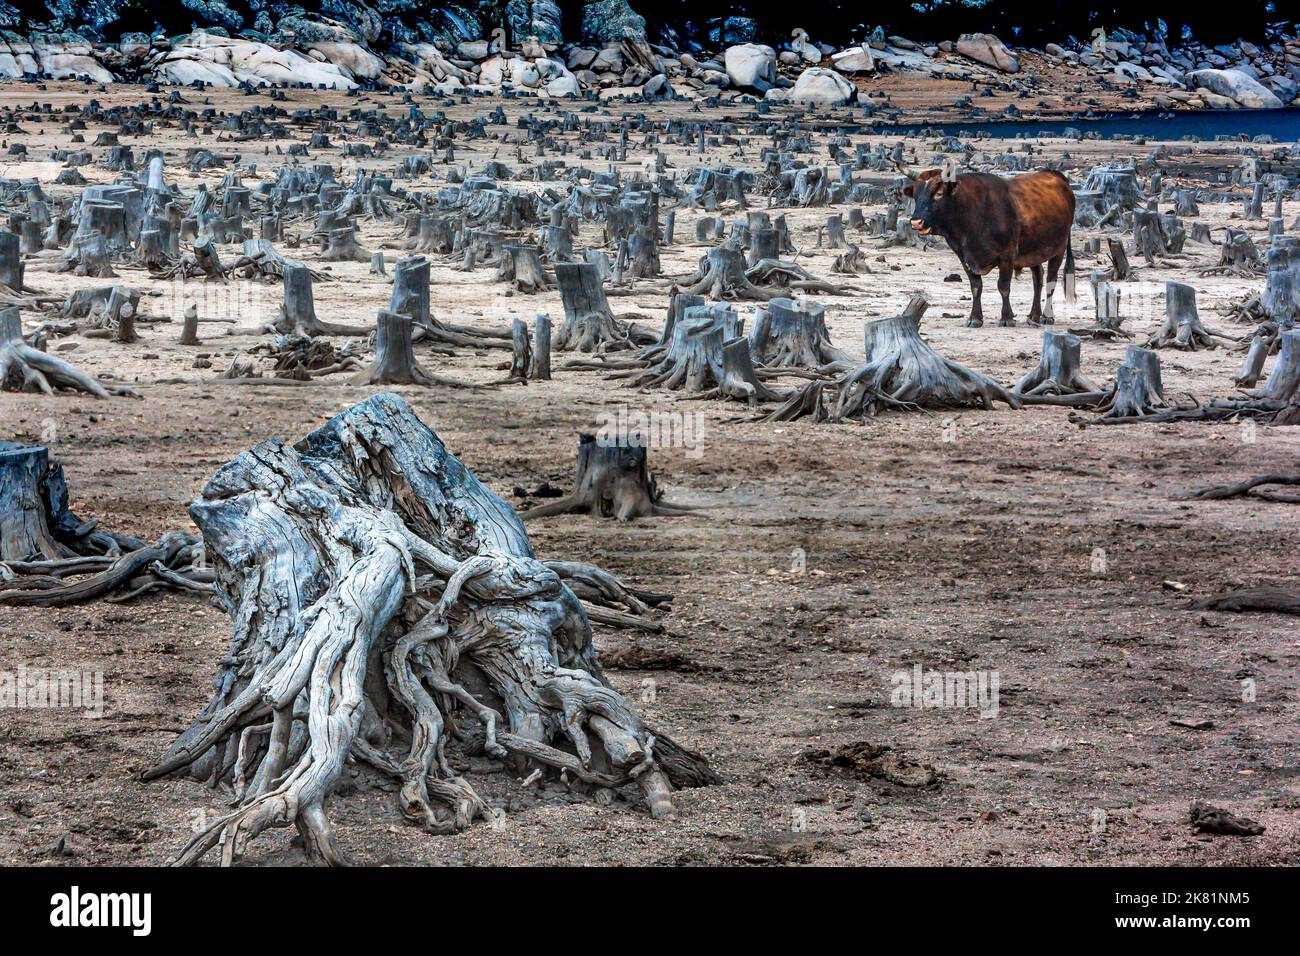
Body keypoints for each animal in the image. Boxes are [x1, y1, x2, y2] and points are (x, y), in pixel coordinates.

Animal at [904, 165, 1076, 329]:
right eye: (915, 195)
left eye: (939, 193)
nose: (916, 222)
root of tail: (1056, 175)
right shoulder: (964, 256)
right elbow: (976, 287)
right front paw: (975, 318)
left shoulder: (1007, 255)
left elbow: (1003, 286)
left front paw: (1007, 318)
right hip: (1034, 250)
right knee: (1038, 279)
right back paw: (1034, 315)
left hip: (1059, 249)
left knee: (1050, 280)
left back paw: (1047, 316)